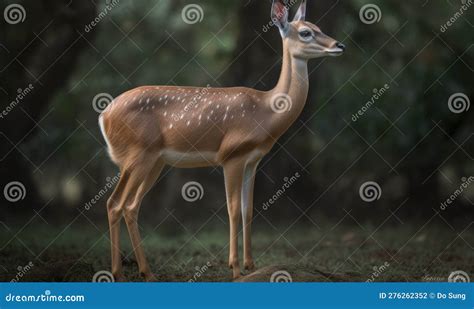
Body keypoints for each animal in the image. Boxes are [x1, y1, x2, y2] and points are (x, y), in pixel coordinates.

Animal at [99, 0, 344, 280]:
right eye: (305, 32)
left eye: (318, 26)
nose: (339, 45)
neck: (266, 111)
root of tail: (104, 116)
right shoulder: (231, 155)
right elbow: (233, 210)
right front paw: (235, 269)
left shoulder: (253, 160)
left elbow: (249, 209)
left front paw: (251, 265)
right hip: (138, 154)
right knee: (115, 203)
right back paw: (119, 273)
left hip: (155, 161)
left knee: (131, 206)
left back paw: (147, 272)